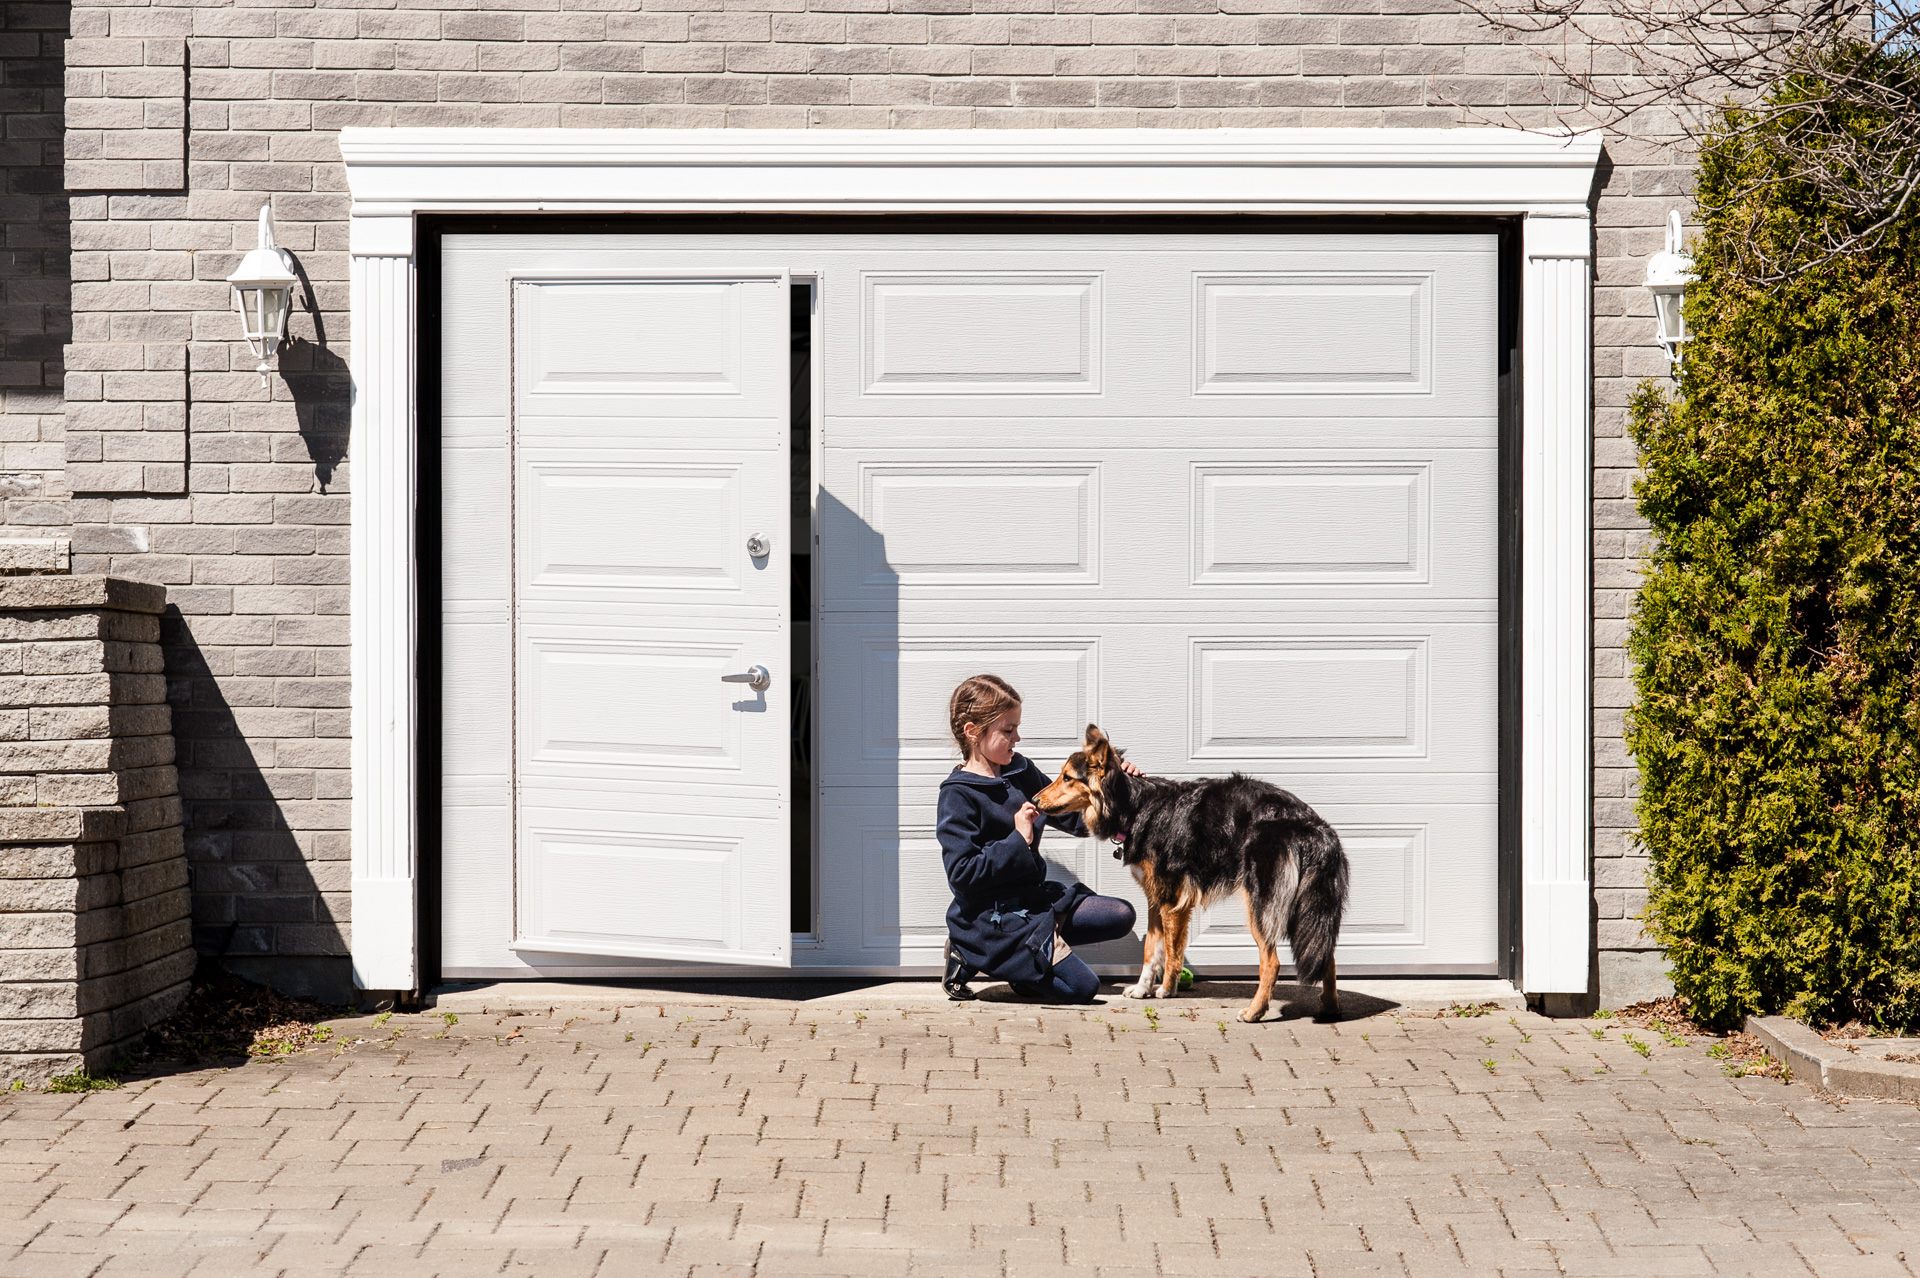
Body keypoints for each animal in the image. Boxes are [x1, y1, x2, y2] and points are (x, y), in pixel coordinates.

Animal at [1036, 725, 1351, 1013]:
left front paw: (1165, 990)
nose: (1036, 801)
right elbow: (1152, 949)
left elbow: (1171, 950)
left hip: (1263, 902)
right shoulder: (1156, 899)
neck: (1135, 808)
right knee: (1325, 952)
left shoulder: (1171, 900)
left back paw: (1255, 1012)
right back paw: (1329, 1007)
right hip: (1307, 904)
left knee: (1271, 961)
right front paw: (1141, 989)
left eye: (1067, 777)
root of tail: (1315, 827)